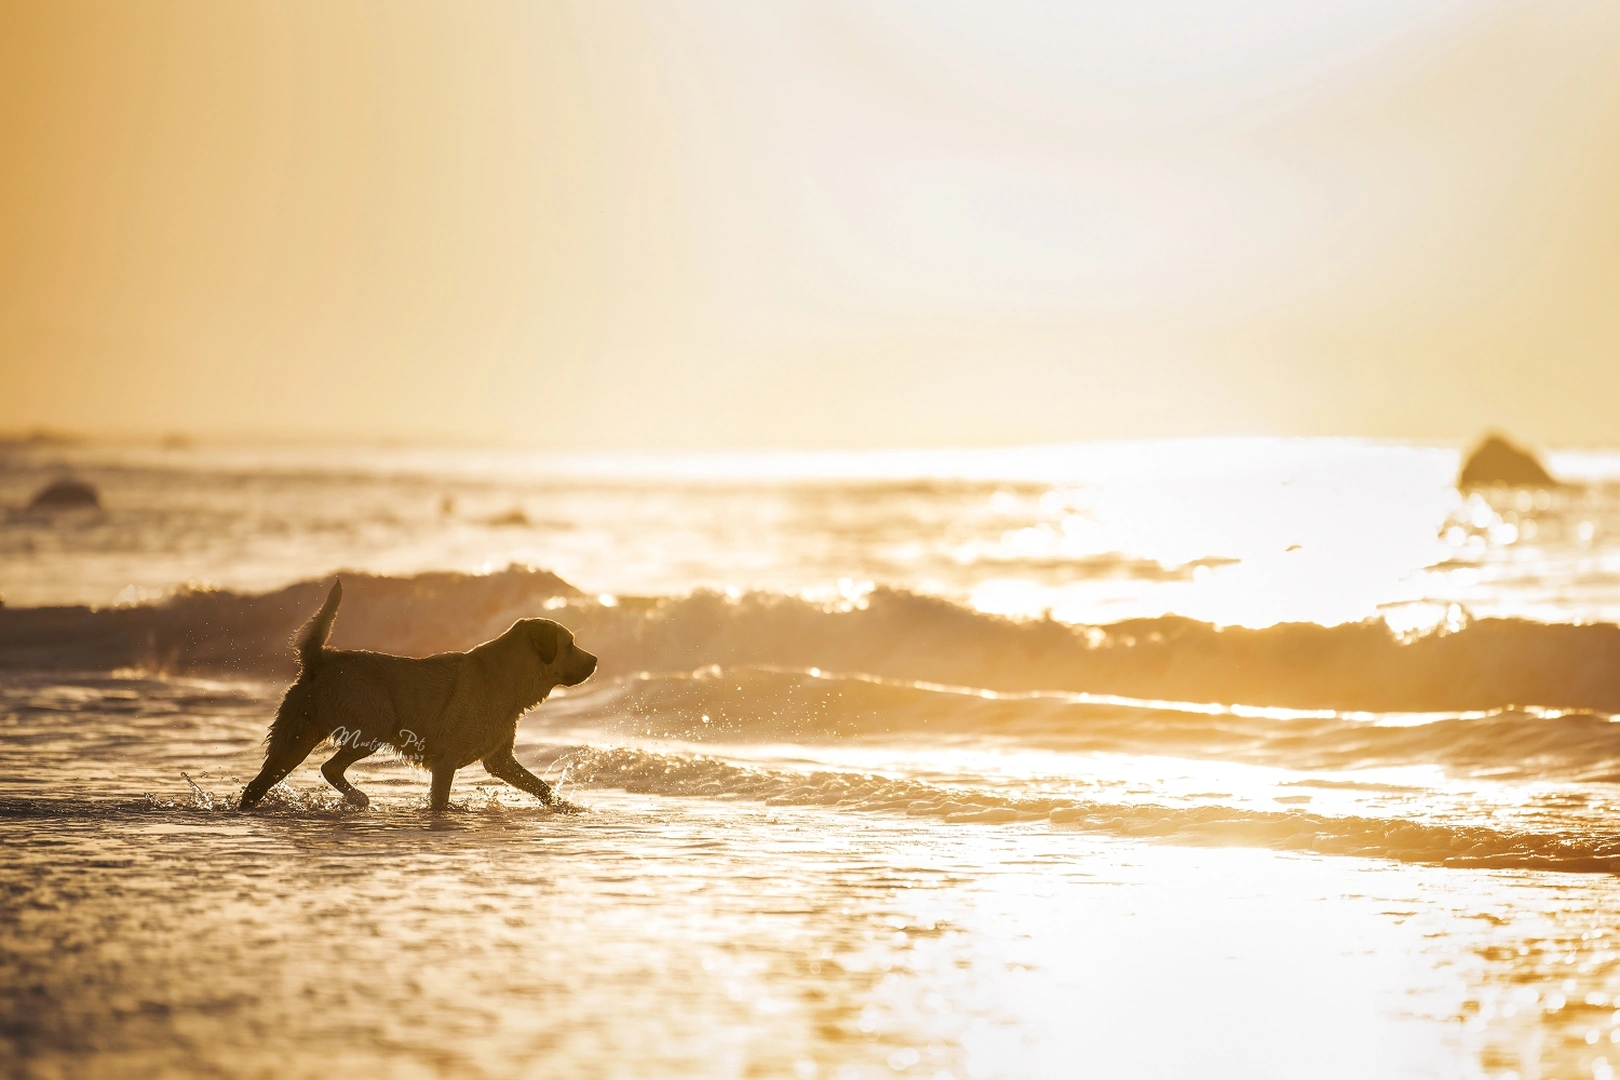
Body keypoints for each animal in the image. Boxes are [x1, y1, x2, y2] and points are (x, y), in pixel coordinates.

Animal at [236, 582, 599, 809]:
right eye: (569, 645)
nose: (595, 660)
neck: (507, 676)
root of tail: (321, 658)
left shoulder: (500, 760)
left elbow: (539, 785)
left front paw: (564, 806)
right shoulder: (447, 760)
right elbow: (440, 799)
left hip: (296, 736)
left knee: (261, 781)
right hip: (372, 725)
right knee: (329, 767)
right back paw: (358, 798)